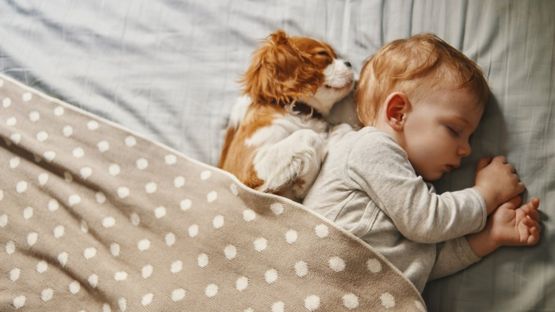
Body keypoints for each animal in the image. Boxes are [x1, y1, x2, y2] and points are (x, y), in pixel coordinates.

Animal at [219, 28, 354, 200]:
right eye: (323, 54)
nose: (349, 63)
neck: (299, 111)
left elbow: (343, 127)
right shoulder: (248, 169)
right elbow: (308, 135)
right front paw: (304, 177)